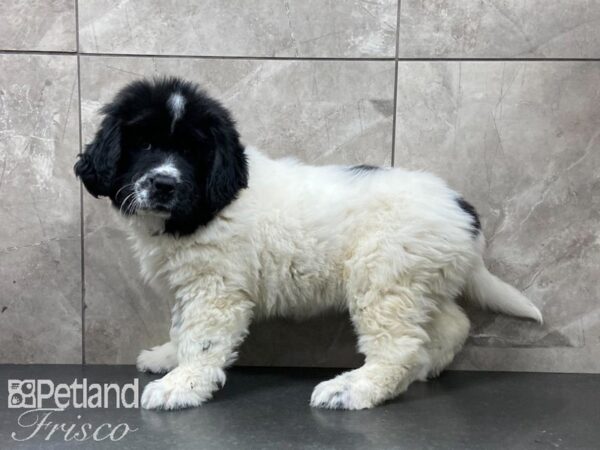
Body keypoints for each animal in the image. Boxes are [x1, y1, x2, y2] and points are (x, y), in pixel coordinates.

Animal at [76, 78, 544, 412]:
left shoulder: (215, 289)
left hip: (382, 278)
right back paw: (427, 369)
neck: (208, 204)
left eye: (193, 151)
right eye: (144, 144)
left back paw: (356, 389)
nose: (163, 183)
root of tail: (463, 211)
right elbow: (181, 327)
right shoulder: (189, 284)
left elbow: (202, 339)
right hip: (417, 280)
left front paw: (181, 385)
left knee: (398, 349)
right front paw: (168, 356)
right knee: (452, 324)